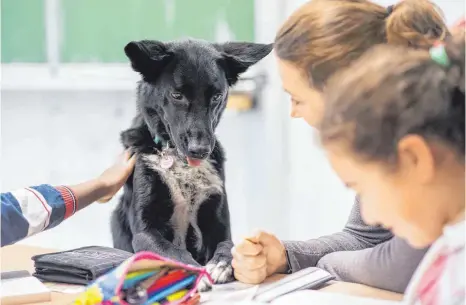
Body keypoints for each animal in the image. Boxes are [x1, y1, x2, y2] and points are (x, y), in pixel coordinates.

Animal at [111, 38, 272, 284]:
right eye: (177, 95)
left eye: (216, 97)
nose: (200, 150)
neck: (179, 161)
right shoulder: (145, 232)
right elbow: (173, 252)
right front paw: (196, 272)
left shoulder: (219, 224)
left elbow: (227, 245)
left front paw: (222, 264)